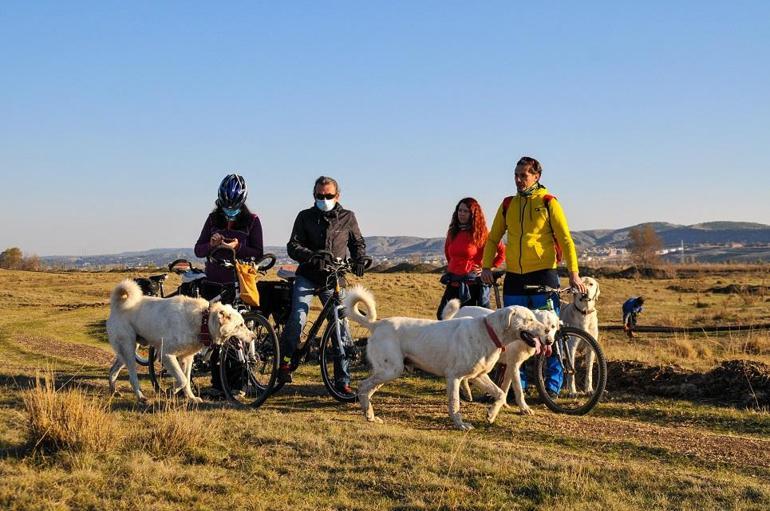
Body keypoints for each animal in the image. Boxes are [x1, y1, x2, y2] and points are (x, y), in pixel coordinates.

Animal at [106, 280, 255, 404]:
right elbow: (182, 379)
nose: (253, 336)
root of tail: (117, 305)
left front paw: (191, 397)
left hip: (127, 351)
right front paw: (171, 391)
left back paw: (114, 391)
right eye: (240, 325)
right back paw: (141, 397)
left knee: (113, 370)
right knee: (132, 377)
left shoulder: (187, 358)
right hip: (129, 349)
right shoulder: (166, 355)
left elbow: (186, 379)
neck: (203, 320)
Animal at [340, 286, 544, 430]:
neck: (488, 332)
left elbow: (500, 394)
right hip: (391, 370)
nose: (547, 332)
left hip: (387, 371)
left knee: (367, 390)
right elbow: (454, 404)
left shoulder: (478, 377)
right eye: (529, 319)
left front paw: (491, 414)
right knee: (363, 386)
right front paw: (460, 425)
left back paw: (370, 415)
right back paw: (368, 413)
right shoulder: (454, 377)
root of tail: (376, 324)